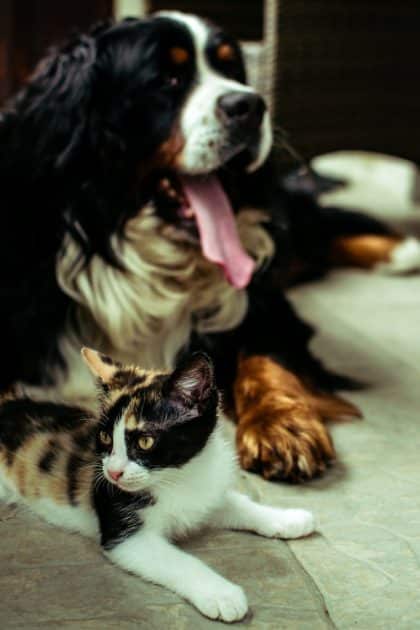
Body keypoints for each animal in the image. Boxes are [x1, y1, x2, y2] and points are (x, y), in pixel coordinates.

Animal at [0, 11, 416, 484]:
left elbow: (265, 358)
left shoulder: (263, 306)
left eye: (232, 69)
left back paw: (399, 251)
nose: (251, 106)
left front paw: (283, 425)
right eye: (168, 78)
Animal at [0, 350, 316, 628]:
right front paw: (222, 594)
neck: (176, 476)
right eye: (105, 437)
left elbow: (238, 504)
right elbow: (179, 561)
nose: (113, 472)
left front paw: (288, 518)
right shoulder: (124, 533)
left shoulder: (206, 493)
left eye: (145, 442)